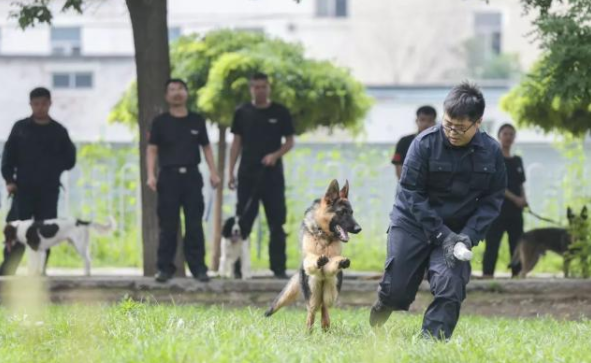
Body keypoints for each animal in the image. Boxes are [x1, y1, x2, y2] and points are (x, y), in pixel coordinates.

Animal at [266, 181, 364, 332]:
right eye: (342, 212)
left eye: (351, 213)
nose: (358, 229)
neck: (323, 234)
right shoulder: (309, 260)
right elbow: (313, 260)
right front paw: (319, 260)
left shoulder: (330, 265)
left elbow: (332, 262)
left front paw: (340, 262)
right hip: (312, 291)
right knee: (312, 310)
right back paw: (309, 330)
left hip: (331, 289)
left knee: (324, 306)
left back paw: (325, 326)